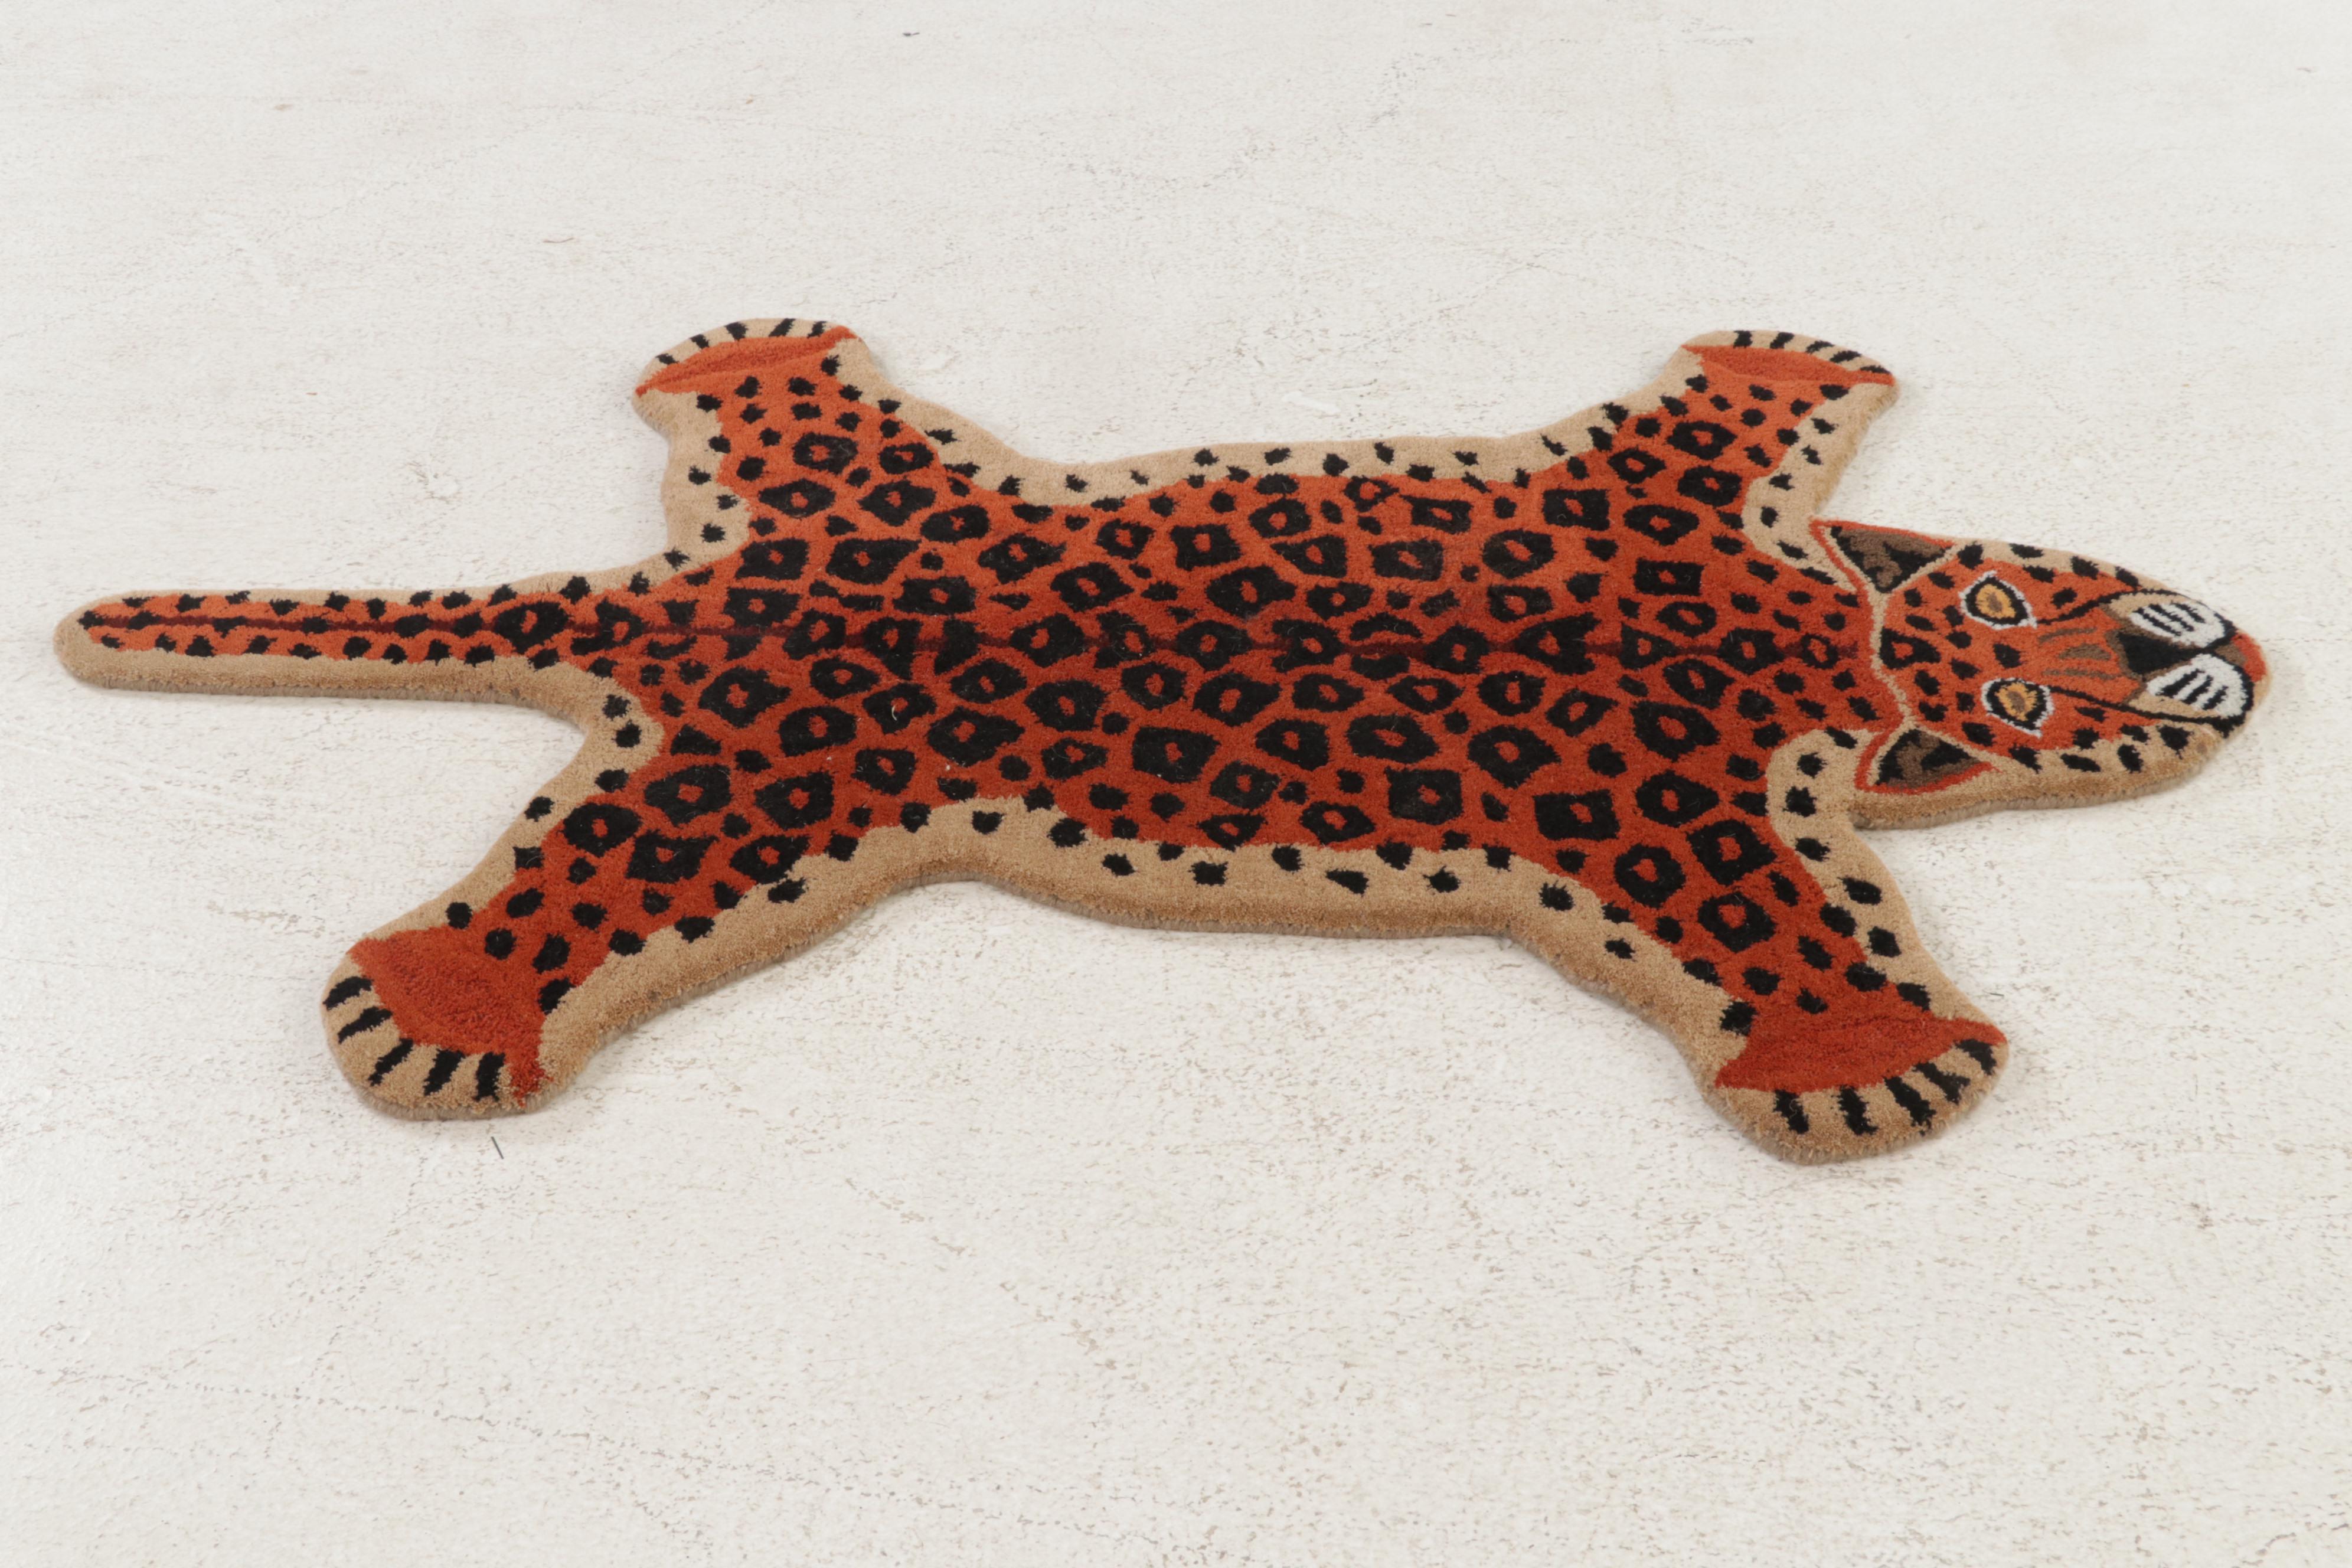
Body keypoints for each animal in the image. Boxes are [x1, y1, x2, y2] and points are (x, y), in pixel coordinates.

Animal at [57, 321, 2268, 1161]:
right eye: (2009, 666)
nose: (2209, 651)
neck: (1825, 621)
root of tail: (698, 590)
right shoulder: (1693, 807)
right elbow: (1793, 929)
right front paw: (1875, 1045)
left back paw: (758, 358)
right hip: (760, 787)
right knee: (567, 892)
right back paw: (445, 997)